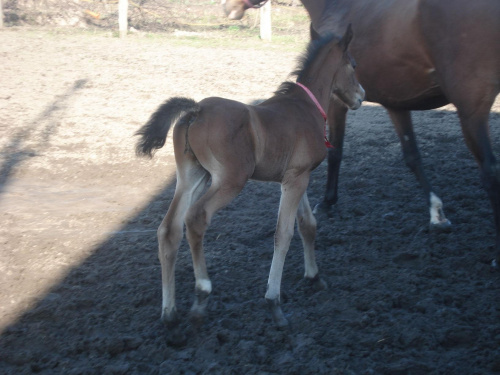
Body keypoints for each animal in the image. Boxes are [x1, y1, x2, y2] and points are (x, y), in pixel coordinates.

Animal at [135, 27, 366, 340]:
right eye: (353, 64)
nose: (361, 96)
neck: (306, 106)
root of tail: (196, 110)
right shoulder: (296, 178)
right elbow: (283, 235)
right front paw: (275, 304)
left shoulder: (296, 176)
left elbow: (307, 225)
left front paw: (315, 277)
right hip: (230, 180)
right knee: (196, 218)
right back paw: (201, 297)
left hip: (192, 176)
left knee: (168, 229)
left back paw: (169, 313)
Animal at [226, 0, 500, 268]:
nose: (228, 8)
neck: (336, 6)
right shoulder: (397, 105)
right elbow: (413, 157)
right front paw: (437, 213)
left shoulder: (336, 103)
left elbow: (336, 152)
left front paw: (328, 202)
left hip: (471, 112)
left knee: (489, 170)